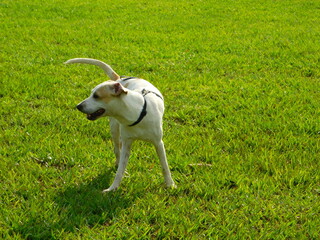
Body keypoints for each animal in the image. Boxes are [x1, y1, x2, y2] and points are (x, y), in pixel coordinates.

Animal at [64, 58, 176, 191]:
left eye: (96, 96)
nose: (78, 106)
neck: (136, 113)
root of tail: (118, 79)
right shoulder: (127, 142)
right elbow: (120, 170)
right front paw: (112, 188)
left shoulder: (158, 143)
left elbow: (165, 166)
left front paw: (170, 184)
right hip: (114, 129)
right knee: (117, 150)